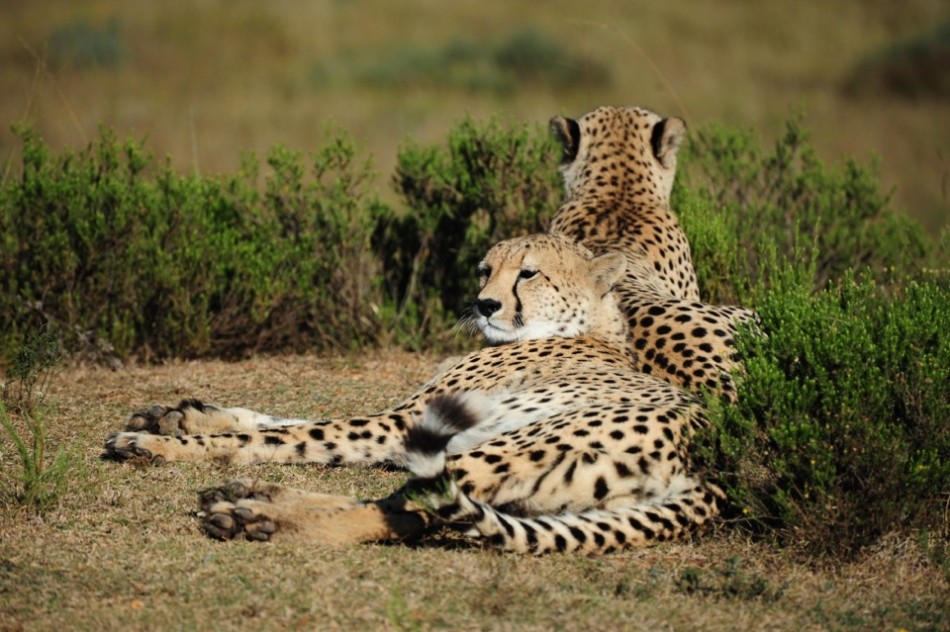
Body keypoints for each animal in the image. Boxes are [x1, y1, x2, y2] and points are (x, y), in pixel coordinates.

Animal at [104, 233, 724, 554]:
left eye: (528, 274)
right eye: (485, 269)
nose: (484, 304)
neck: (583, 329)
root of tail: (714, 474)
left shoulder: (402, 423)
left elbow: (294, 435)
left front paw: (157, 445)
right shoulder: (404, 417)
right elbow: (282, 422)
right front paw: (179, 416)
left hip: (506, 448)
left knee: (405, 506)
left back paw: (258, 514)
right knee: (413, 513)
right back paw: (252, 499)